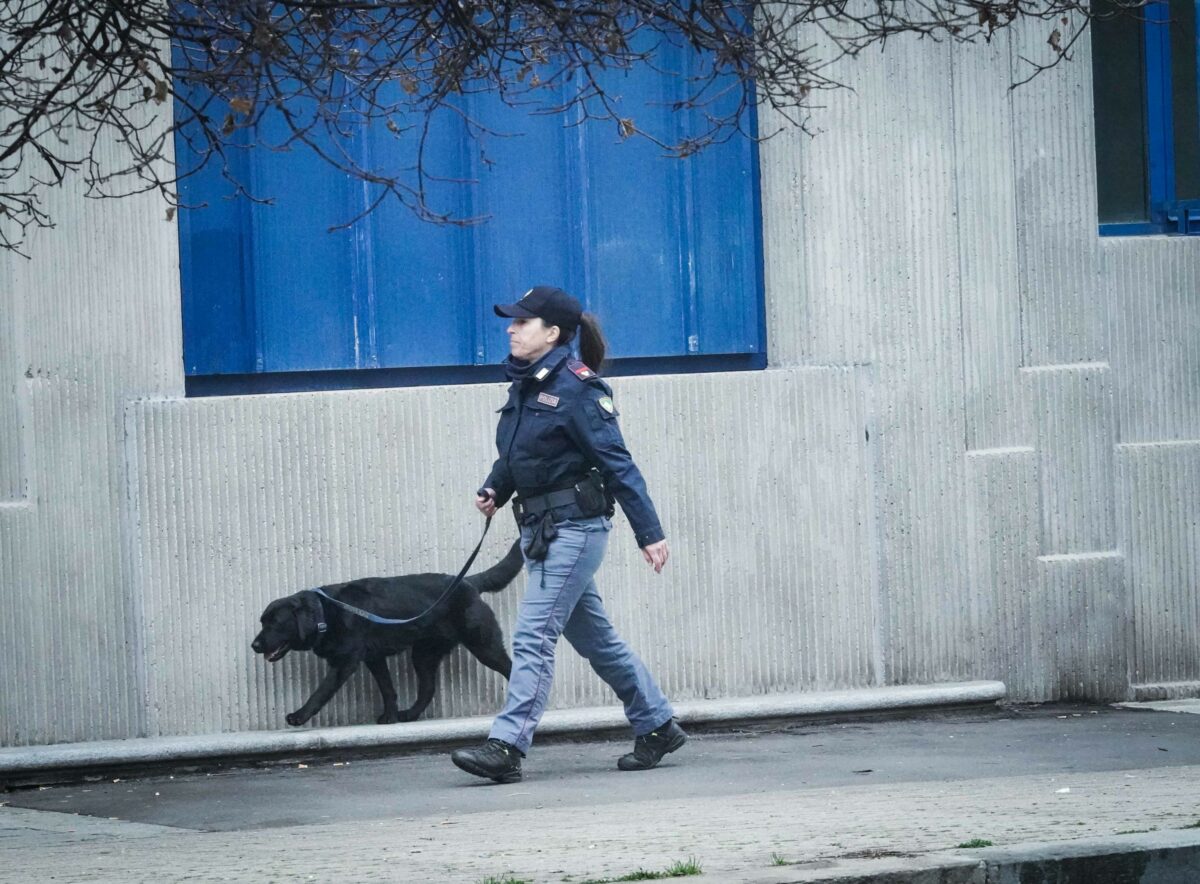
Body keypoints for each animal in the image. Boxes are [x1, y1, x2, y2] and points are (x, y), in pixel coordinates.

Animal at [250, 537, 523, 724]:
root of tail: (469, 582)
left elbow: (322, 691)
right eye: (263, 621)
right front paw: (390, 716)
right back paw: (409, 714)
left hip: (484, 645)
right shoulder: (374, 658)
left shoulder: (345, 662)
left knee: (510, 668)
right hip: (423, 654)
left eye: (275, 623)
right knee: (427, 689)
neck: (324, 613)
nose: (254, 645)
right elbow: (387, 688)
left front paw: (300, 715)